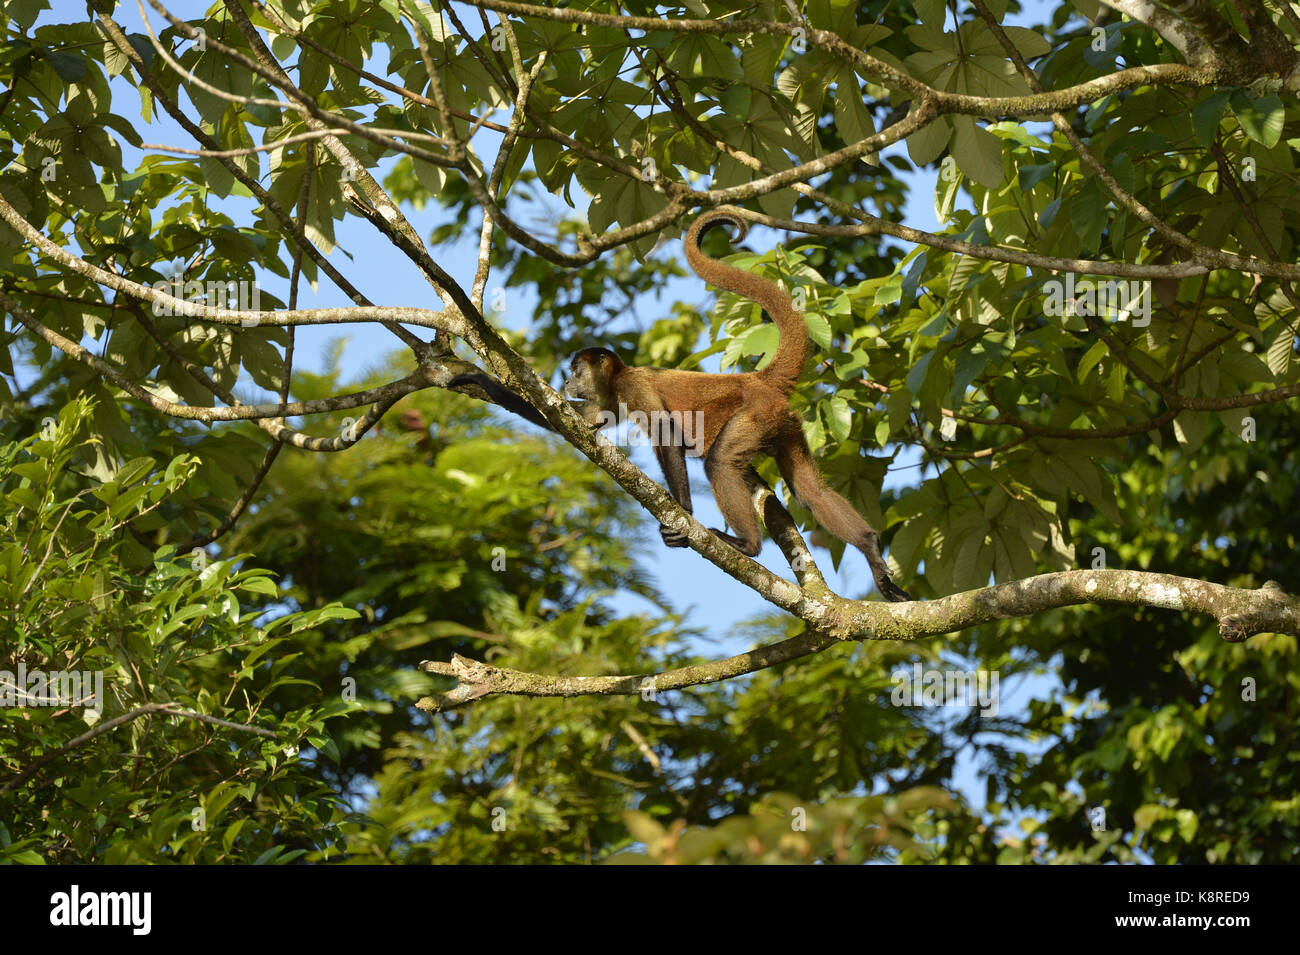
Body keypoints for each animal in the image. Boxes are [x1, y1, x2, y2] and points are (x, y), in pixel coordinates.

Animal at [450, 210, 910, 602]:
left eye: (575, 371)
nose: (565, 381)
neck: (619, 376)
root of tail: (757, 380)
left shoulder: (631, 385)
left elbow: (666, 431)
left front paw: (684, 513)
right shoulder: (610, 397)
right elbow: (578, 423)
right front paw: (480, 380)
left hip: (757, 415)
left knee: (721, 462)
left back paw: (747, 544)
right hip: (786, 423)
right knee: (810, 490)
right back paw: (870, 547)